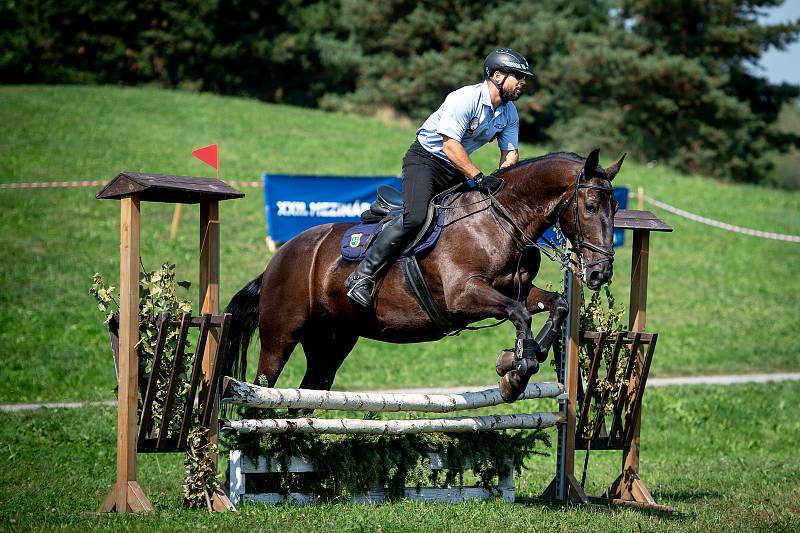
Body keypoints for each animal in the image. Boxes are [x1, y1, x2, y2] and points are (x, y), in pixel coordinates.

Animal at [222, 148, 620, 402]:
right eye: (589, 206)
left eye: (616, 207)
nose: (600, 272)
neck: (501, 221)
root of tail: (279, 258)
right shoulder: (463, 295)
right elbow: (520, 314)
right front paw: (517, 370)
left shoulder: (516, 289)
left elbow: (557, 305)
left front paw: (521, 358)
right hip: (281, 334)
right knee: (264, 385)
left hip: (331, 341)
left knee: (308, 391)